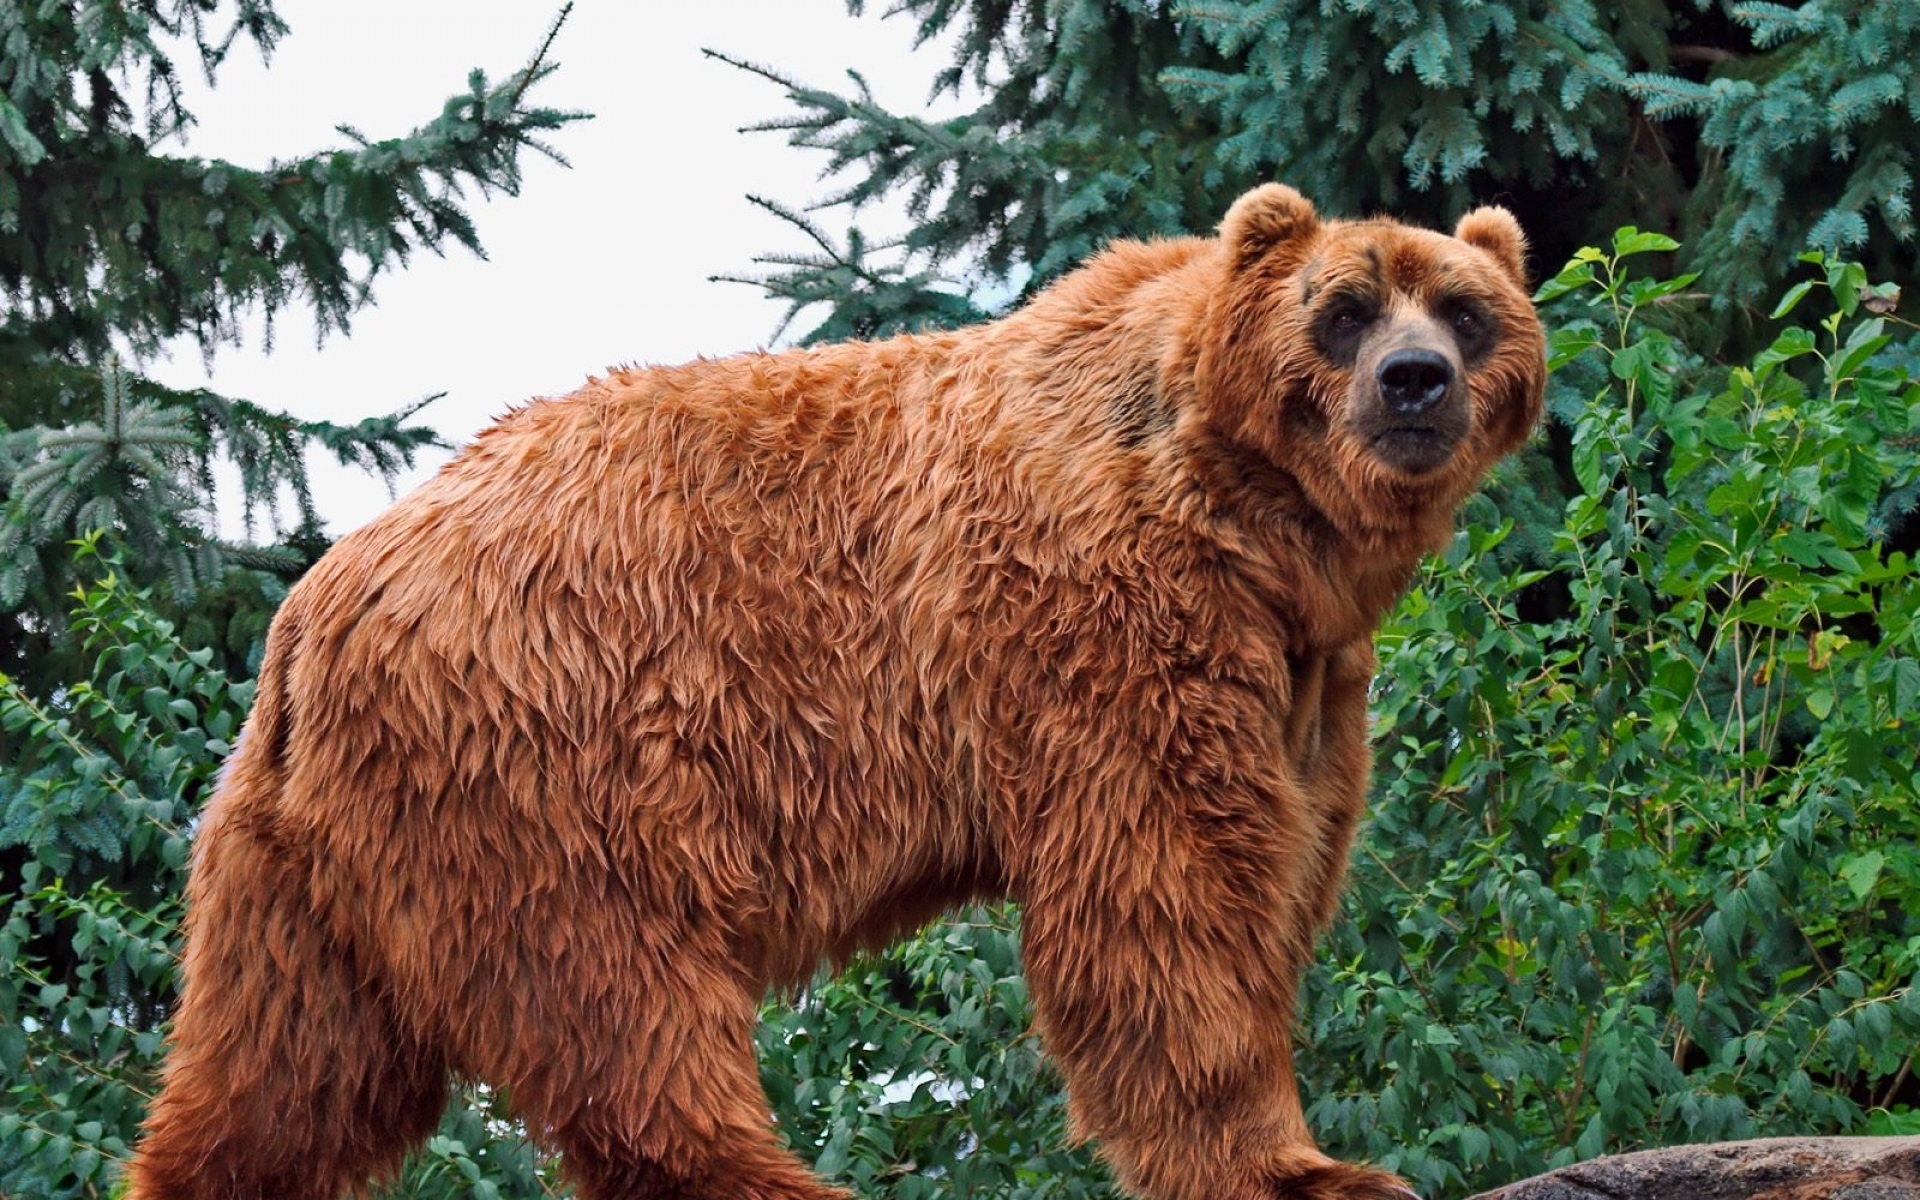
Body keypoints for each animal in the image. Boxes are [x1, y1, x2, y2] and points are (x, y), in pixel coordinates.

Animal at [124, 183, 1546, 1200]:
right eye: (1343, 309)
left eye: (1466, 308)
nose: (1415, 381)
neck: (1256, 523)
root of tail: (313, 613)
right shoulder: (1108, 616)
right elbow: (1167, 892)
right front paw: (1308, 1166)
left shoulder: (1304, 670)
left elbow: (1284, 859)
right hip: (552, 755)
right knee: (619, 1004)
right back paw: (778, 1179)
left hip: (312, 862)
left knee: (289, 1070)